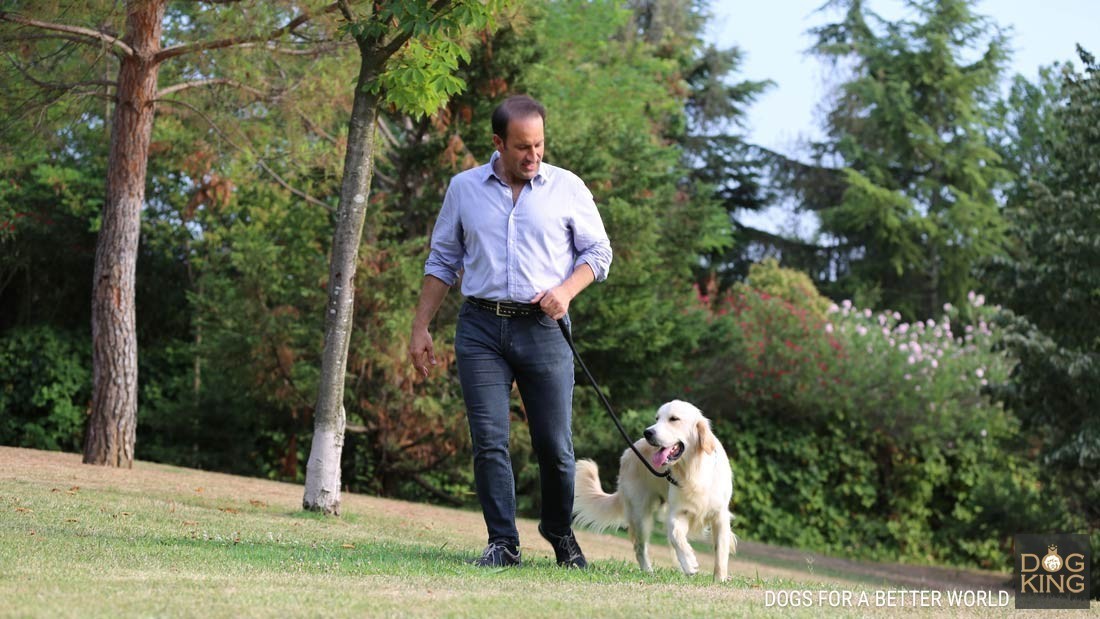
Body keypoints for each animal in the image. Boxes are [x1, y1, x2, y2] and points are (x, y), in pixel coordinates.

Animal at [572, 402, 734, 580]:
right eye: (657, 418)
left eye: (674, 419)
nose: (647, 432)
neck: (693, 471)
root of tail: (627, 453)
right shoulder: (676, 513)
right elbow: (676, 536)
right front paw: (689, 562)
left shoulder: (720, 515)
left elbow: (720, 551)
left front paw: (720, 579)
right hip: (640, 516)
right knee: (640, 548)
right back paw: (649, 571)